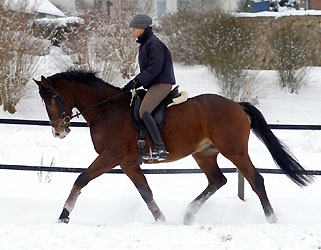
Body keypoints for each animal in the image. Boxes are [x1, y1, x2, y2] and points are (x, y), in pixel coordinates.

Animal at [33, 70, 312, 225]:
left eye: (51, 100)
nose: (58, 131)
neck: (106, 109)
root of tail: (236, 104)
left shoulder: (110, 157)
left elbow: (81, 179)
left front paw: (64, 214)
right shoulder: (128, 163)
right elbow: (146, 193)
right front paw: (162, 221)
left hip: (235, 151)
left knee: (255, 179)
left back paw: (271, 218)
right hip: (204, 154)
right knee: (217, 180)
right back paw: (188, 215)